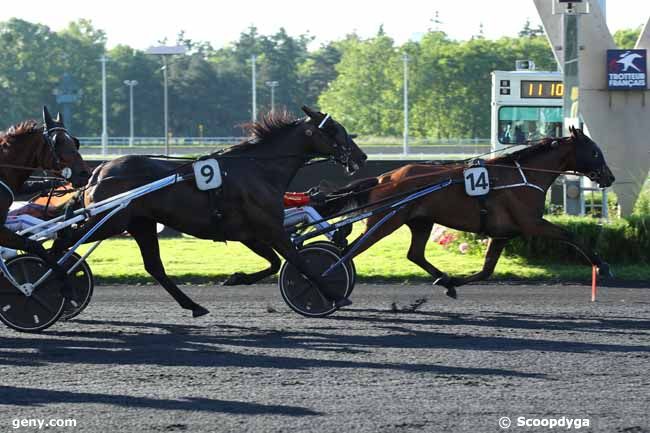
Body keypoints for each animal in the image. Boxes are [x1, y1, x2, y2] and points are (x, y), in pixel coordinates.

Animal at [53, 106, 368, 316]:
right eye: (335, 129)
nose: (362, 156)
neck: (259, 169)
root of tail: (99, 172)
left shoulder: (250, 234)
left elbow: (275, 264)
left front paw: (237, 277)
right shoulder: (270, 229)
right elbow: (299, 262)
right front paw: (333, 294)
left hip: (140, 223)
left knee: (154, 266)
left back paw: (194, 305)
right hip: (110, 221)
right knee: (63, 240)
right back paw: (59, 284)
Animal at [318, 125, 612, 296]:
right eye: (595, 152)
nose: (610, 177)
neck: (524, 176)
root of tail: (384, 178)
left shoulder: (502, 233)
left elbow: (487, 270)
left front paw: (453, 283)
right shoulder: (531, 223)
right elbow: (571, 236)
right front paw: (603, 266)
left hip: (421, 221)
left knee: (414, 254)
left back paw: (444, 280)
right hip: (386, 221)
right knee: (350, 251)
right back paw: (325, 277)